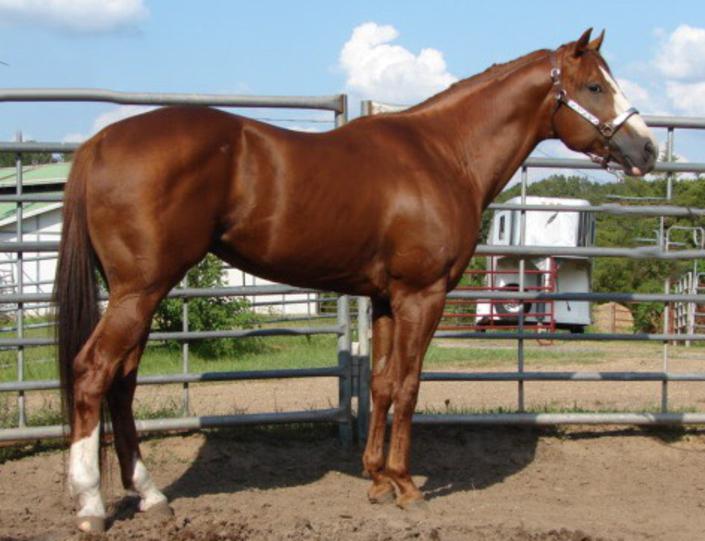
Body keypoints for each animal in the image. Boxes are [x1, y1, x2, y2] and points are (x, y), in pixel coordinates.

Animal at [54, 28, 658, 533]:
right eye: (594, 86)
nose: (647, 149)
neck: (443, 154)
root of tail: (98, 143)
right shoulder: (422, 297)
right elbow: (409, 386)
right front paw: (408, 486)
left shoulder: (388, 300)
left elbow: (382, 384)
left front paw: (377, 480)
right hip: (140, 291)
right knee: (93, 371)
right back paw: (91, 505)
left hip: (139, 293)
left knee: (123, 381)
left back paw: (150, 495)